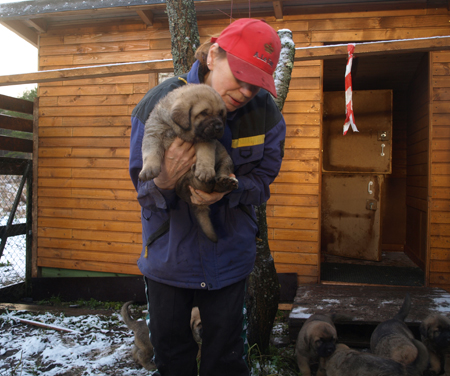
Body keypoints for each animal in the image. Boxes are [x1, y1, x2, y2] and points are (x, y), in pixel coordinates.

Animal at [140, 82, 239, 242]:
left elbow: (205, 155)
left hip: (225, 161)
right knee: (201, 186)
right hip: (181, 185)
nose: (219, 127)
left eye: (220, 114)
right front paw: (148, 169)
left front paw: (204, 171)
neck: (180, 131)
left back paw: (223, 182)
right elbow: (150, 152)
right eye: (204, 113)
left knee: (216, 182)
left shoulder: (206, 139)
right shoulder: (154, 132)